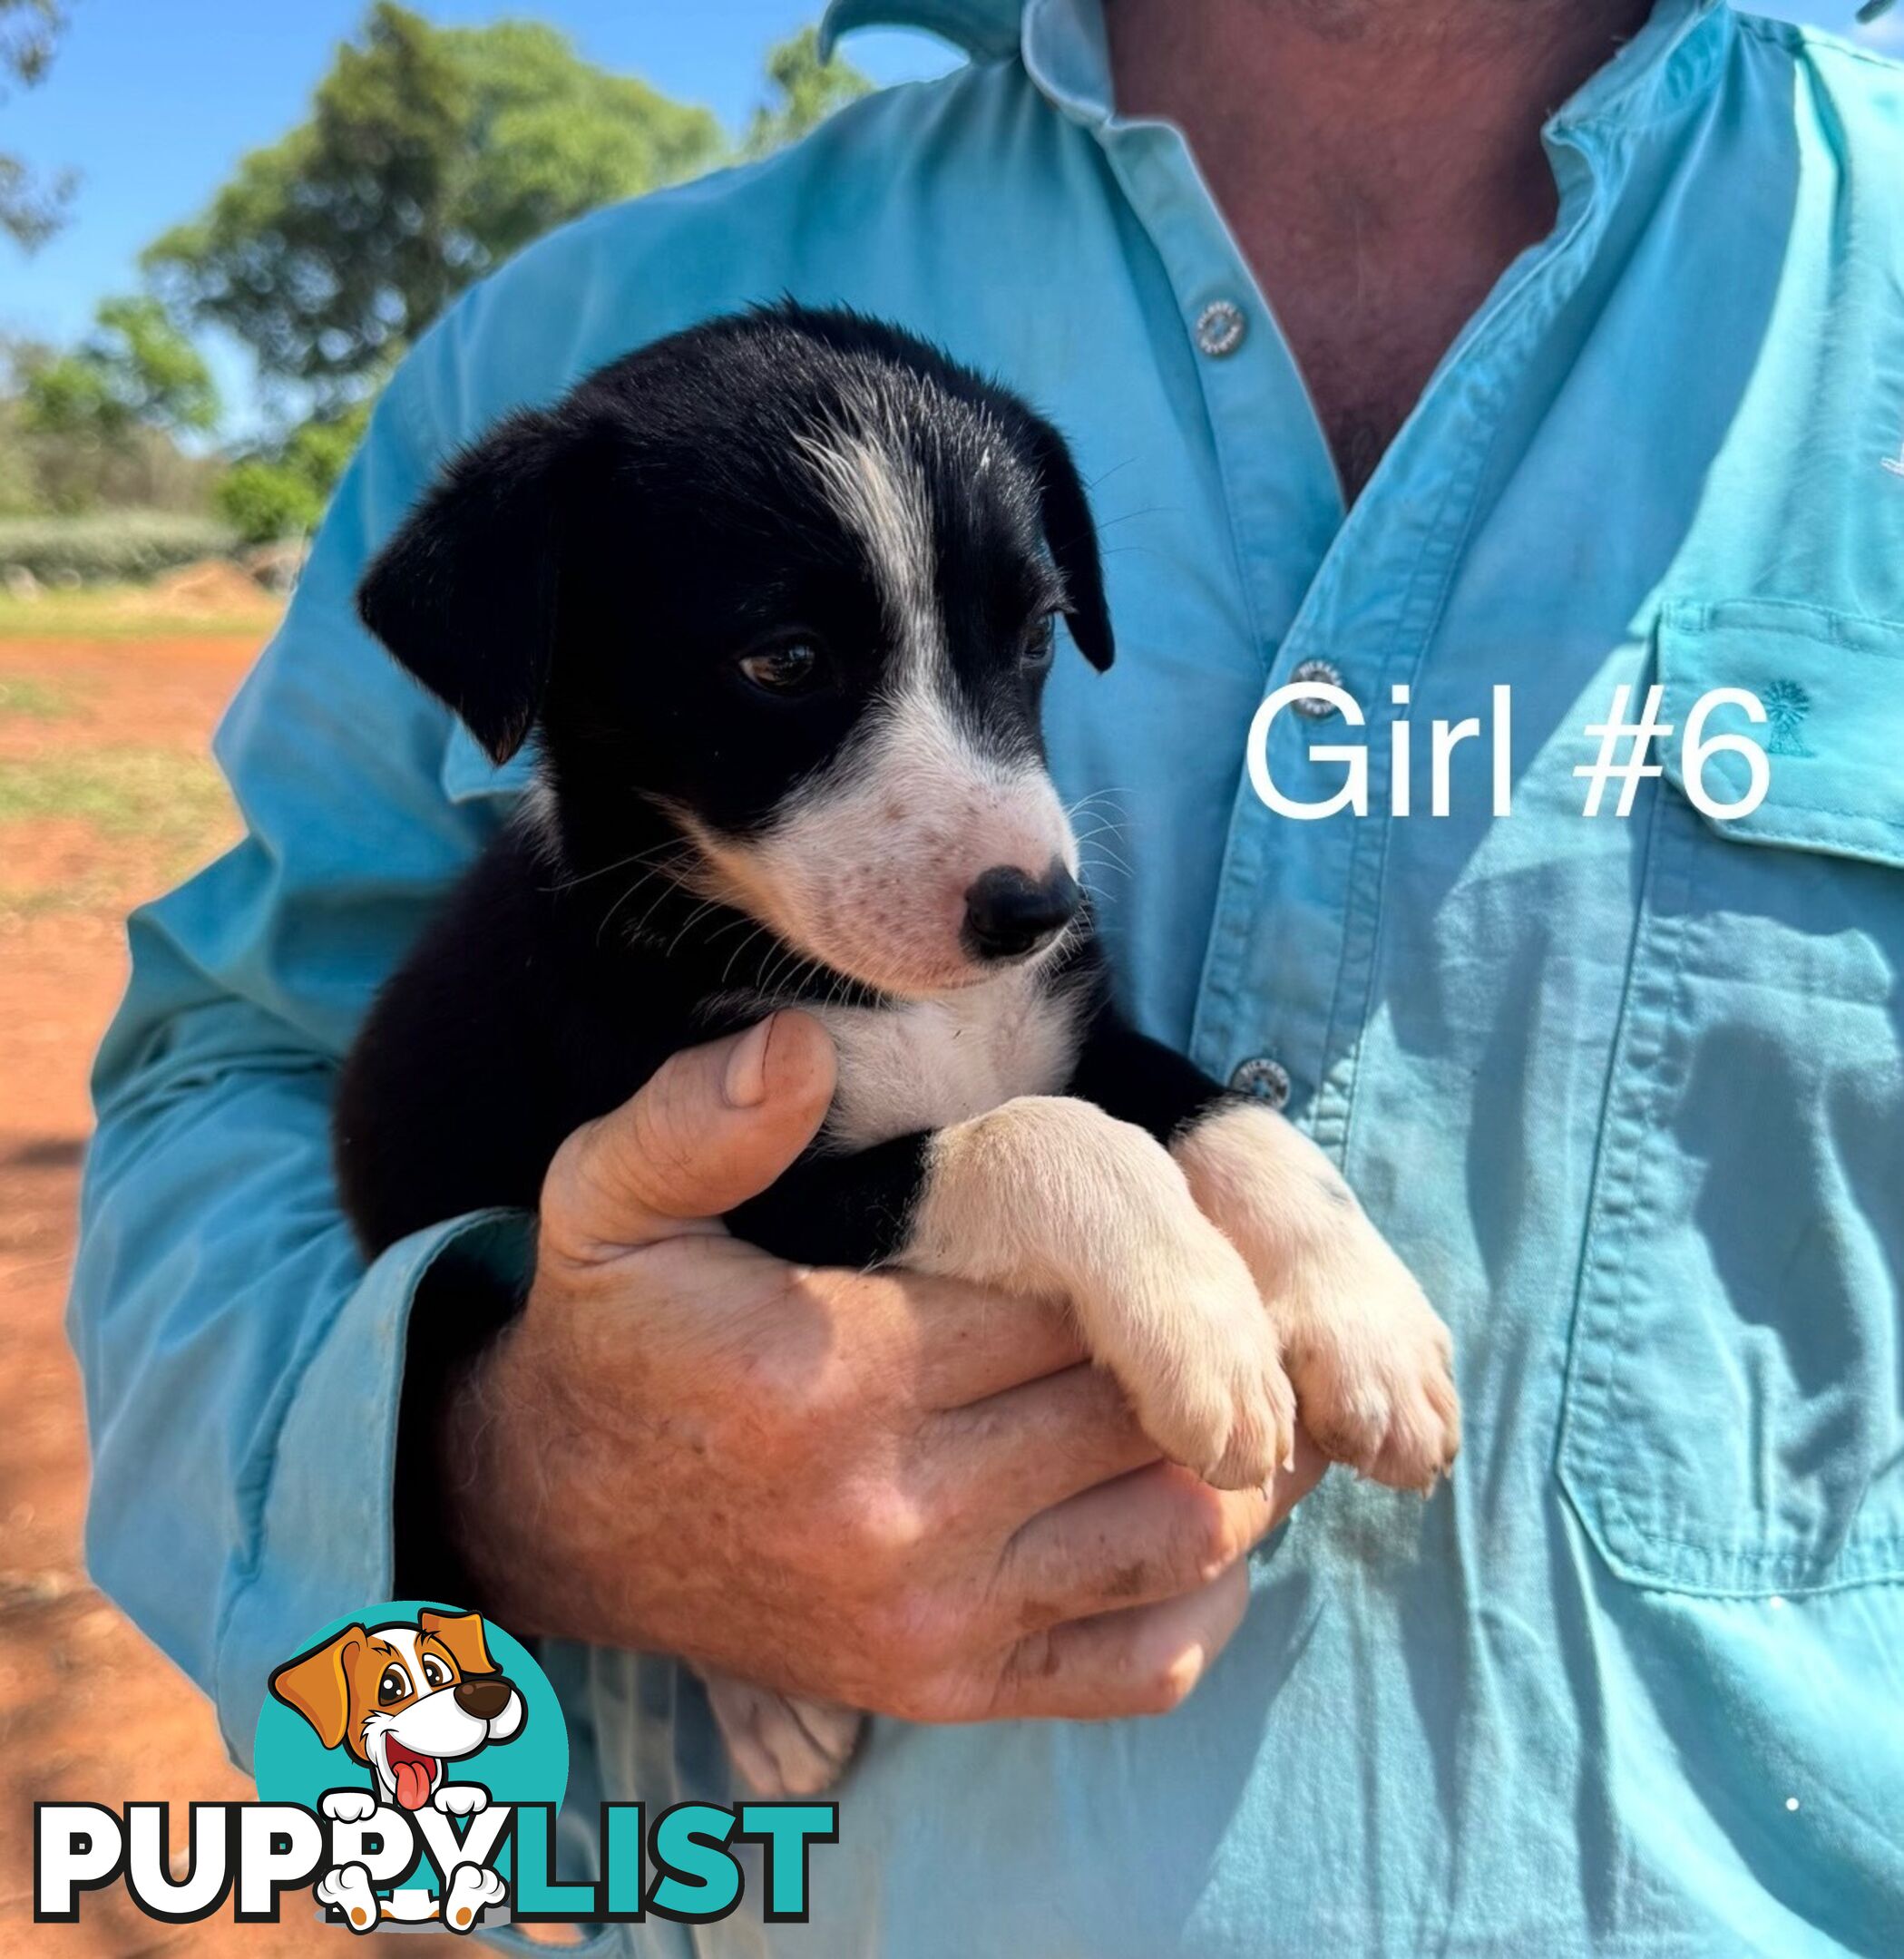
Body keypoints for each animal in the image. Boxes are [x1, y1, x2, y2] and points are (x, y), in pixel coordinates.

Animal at [335, 301, 1457, 1794]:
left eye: (1036, 634)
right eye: (784, 662)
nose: (1031, 906)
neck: (892, 996)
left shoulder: (1077, 1028)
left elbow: (1221, 1116)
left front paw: (1364, 1318)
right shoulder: (769, 1186)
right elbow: (1044, 1136)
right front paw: (1200, 1315)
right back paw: (764, 1707)